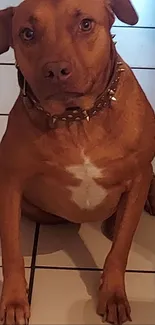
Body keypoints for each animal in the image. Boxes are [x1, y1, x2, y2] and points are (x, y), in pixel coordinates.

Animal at [0, 0, 155, 322]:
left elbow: (121, 247)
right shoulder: (10, 183)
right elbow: (11, 249)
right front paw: (14, 301)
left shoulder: (138, 176)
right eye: (27, 33)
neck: (77, 119)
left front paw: (113, 293)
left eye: (85, 24)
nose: (56, 70)